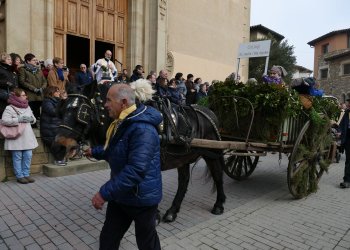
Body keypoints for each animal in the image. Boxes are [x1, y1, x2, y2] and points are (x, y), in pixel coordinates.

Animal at [53, 80, 226, 223]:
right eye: (61, 109)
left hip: (211, 154)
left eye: (81, 111)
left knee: (217, 175)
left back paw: (219, 204)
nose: (59, 147)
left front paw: (153, 215)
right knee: (184, 181)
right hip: (182, 157)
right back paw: (172, 211)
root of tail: (209, 113)